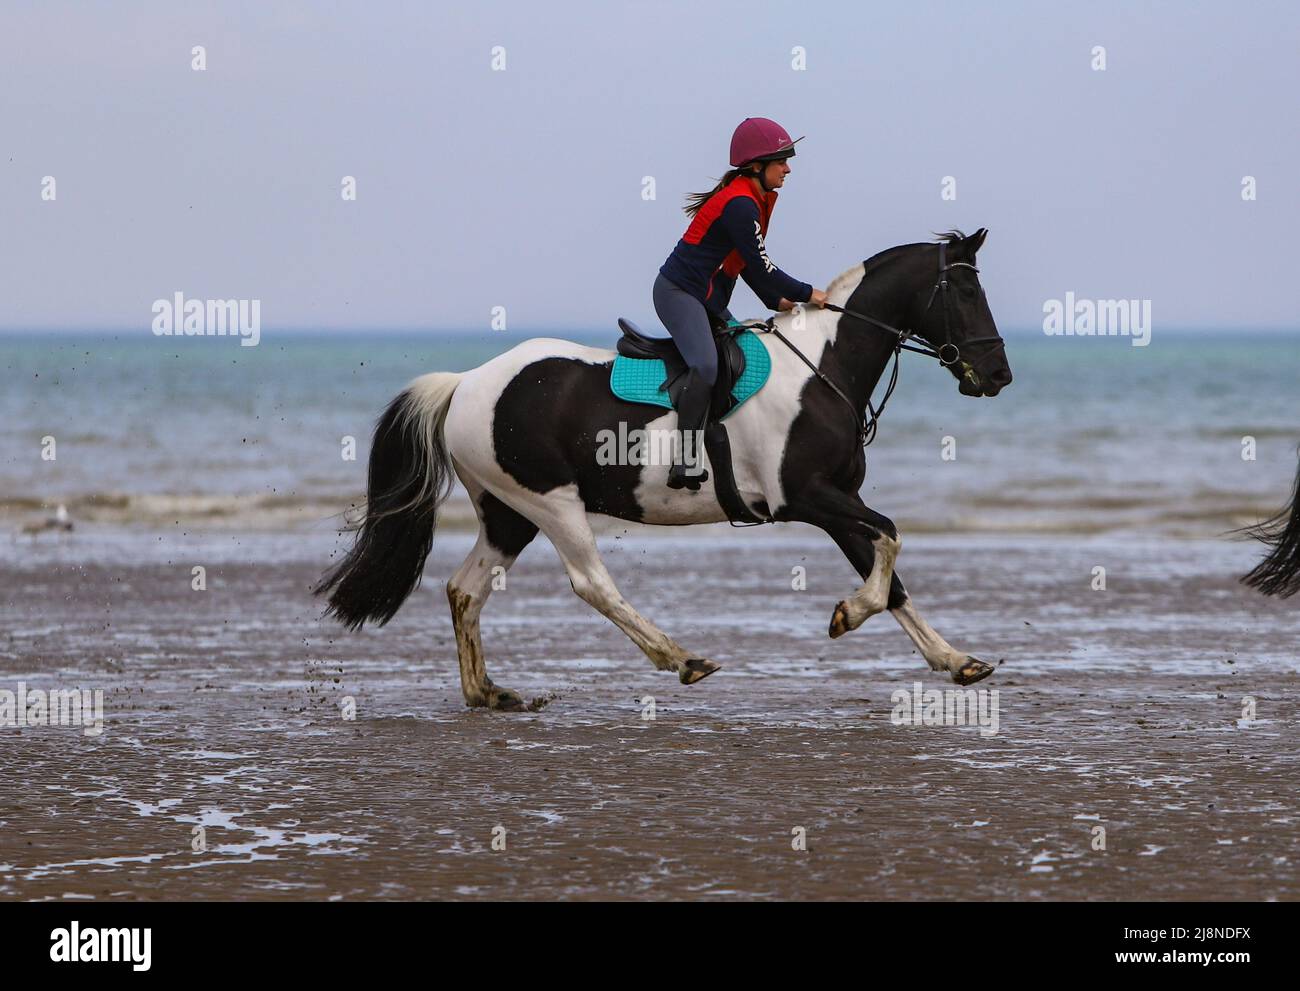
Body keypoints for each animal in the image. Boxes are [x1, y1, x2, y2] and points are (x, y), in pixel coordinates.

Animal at [317, 230, 1013, 712]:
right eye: (967, 292)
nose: (998, 375)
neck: (821, 367)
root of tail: (465, 383)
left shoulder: (839, 499)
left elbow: (890, 577)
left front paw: (955, 660)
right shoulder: (806, 497)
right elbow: (890, 538)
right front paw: (847, 614)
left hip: (509, 513)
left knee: (466, 590)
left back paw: (486, 692)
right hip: (550, 502)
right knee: (592, 584)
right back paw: (680, 657)